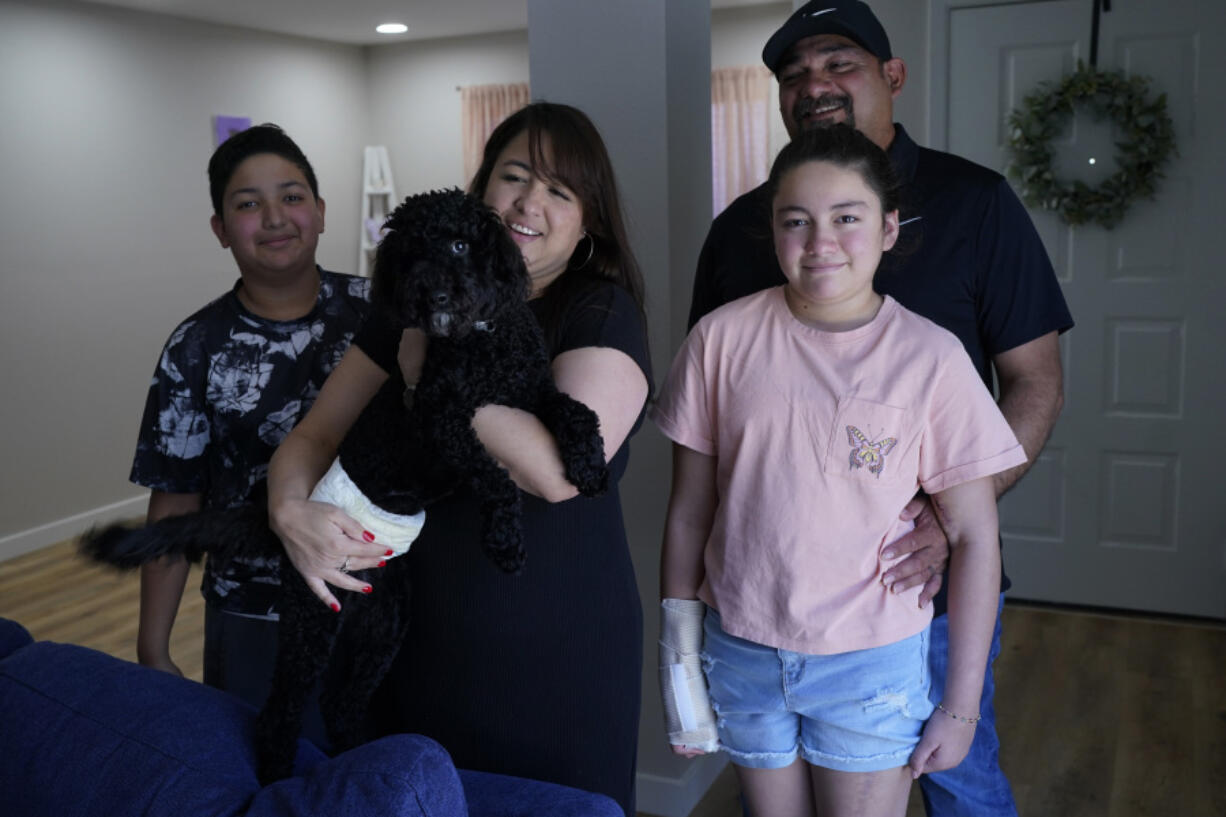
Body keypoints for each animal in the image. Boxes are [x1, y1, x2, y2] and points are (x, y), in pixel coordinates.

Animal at [81, 188, 608, 785]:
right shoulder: (441, 420)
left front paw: (589, 464)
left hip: (384, 624)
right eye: (408, 255)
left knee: (340, 702)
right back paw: (279, 776)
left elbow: (576, 410)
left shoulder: (530, 392)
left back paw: (365, 756)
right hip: (314, 617)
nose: (430, 293)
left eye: (457, 244)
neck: (484, 340)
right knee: (282, 711)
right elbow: (494, 474)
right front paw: (505, 541)